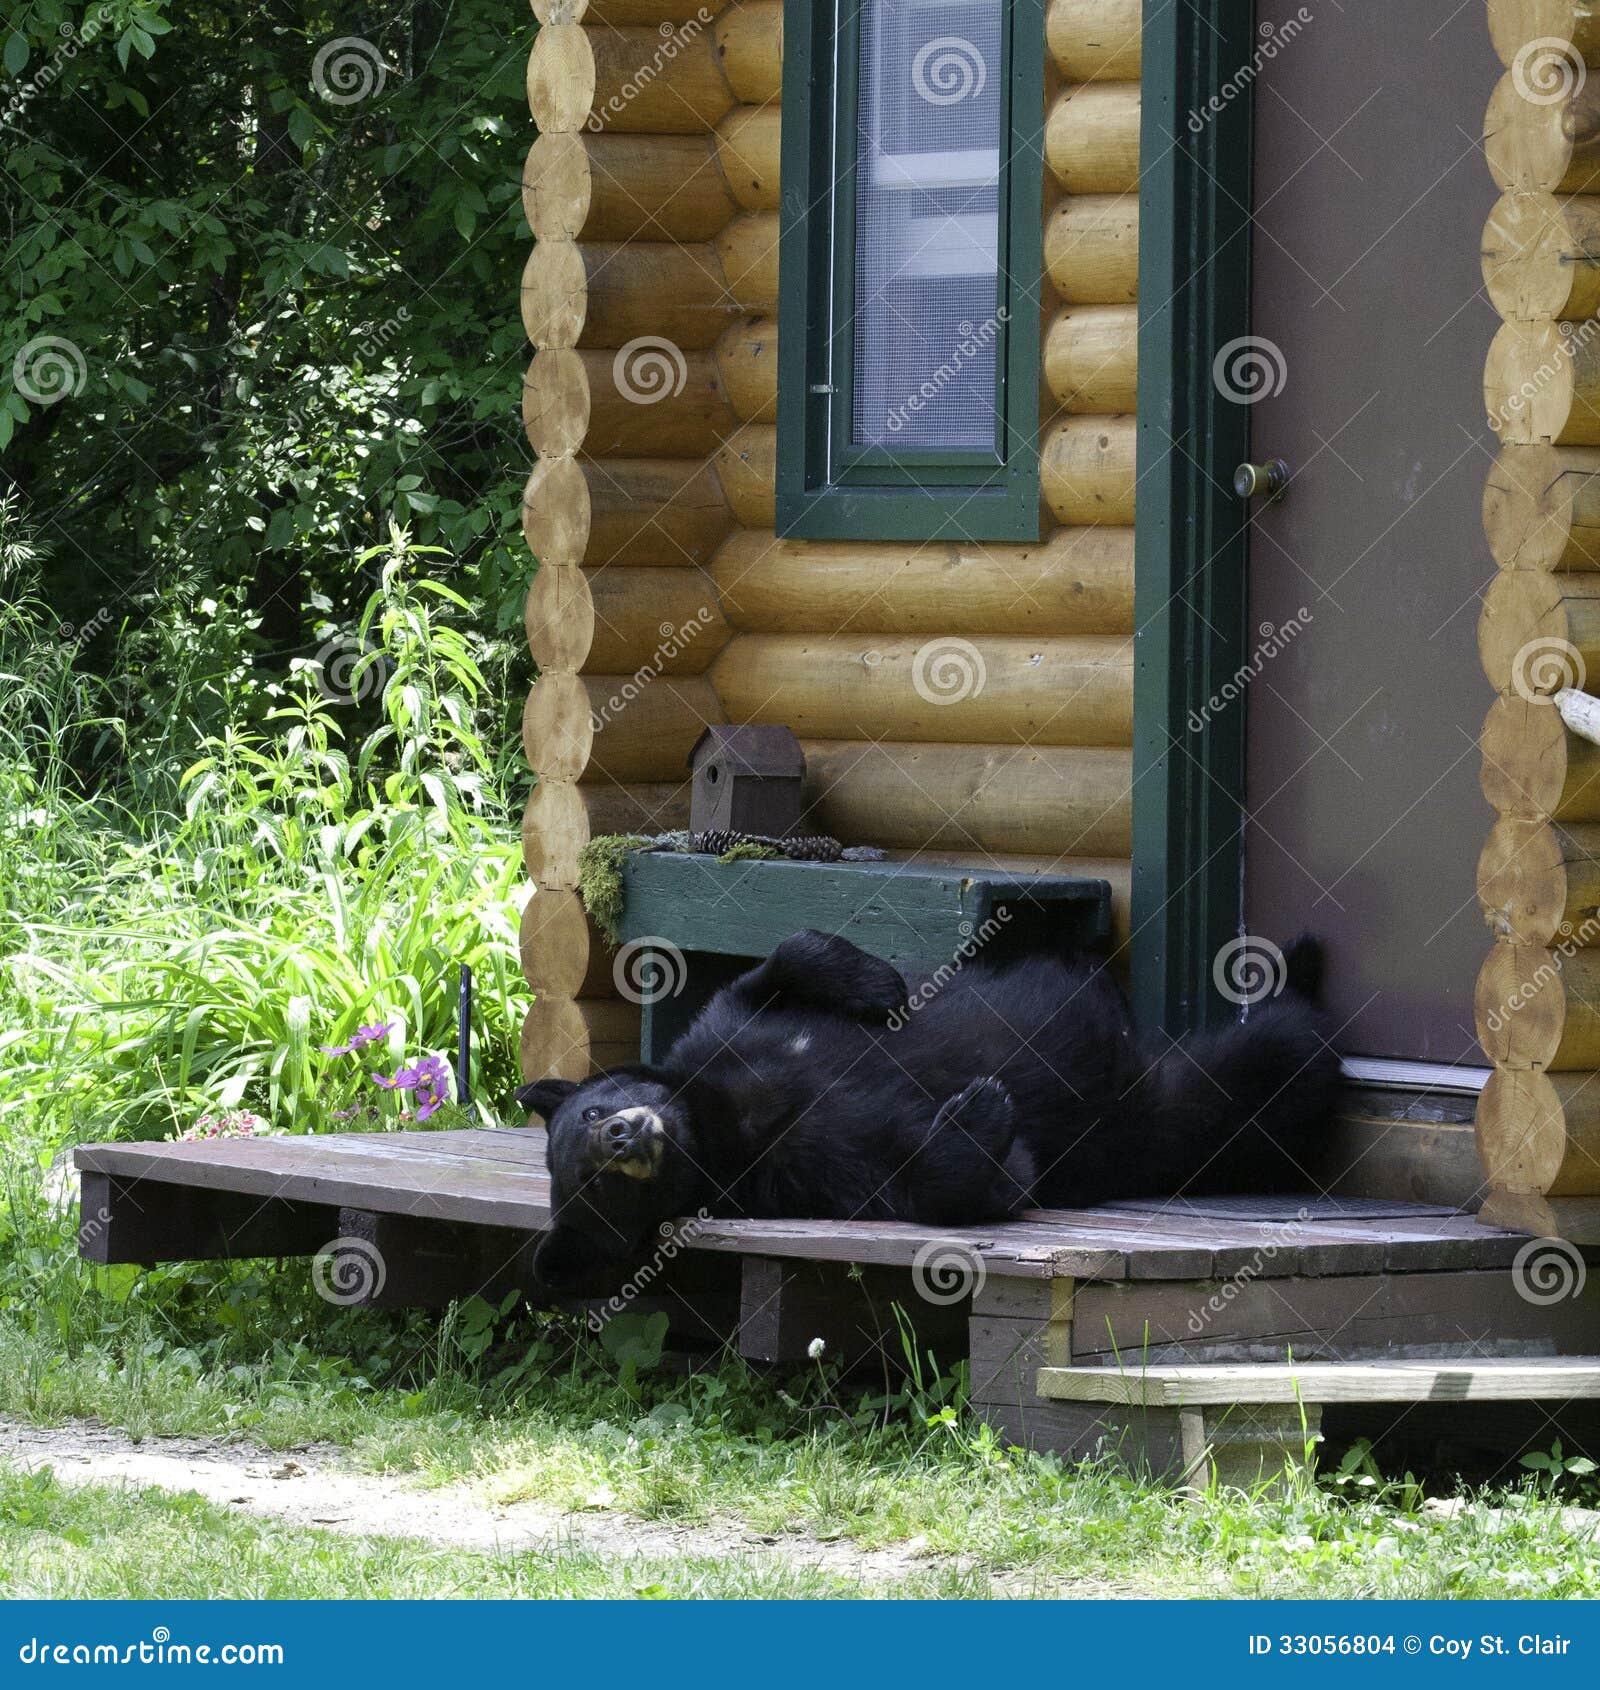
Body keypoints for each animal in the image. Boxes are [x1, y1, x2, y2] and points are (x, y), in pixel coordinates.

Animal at [518, 929, 1342, 1293]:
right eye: (594, 1184)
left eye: (589, 1113)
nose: (620, 1134)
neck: (722, 1121)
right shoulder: (792, 1174)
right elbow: (943, 1182)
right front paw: (983, 1109)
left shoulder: (730, 1037)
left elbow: (777, 970)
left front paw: (879, 983)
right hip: (1166, 1119)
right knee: (1265, 1069)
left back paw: (1300, 956)